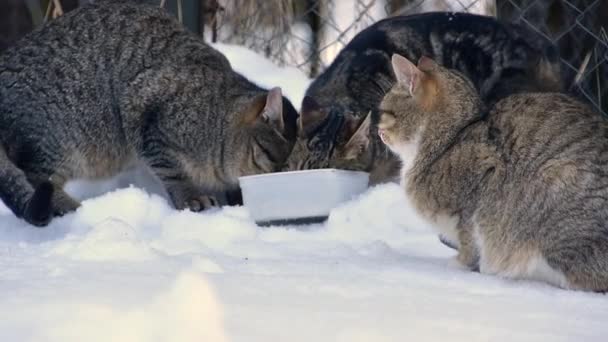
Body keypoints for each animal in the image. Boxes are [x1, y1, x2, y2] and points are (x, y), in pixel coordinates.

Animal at [0, 0, 300, 227]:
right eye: (272, 158)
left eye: (290, 166)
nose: (277, 177)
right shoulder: (143, 111)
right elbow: (173, 170)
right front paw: (192, 197)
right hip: (59, 139)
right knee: (35, 179)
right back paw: (72, 208)